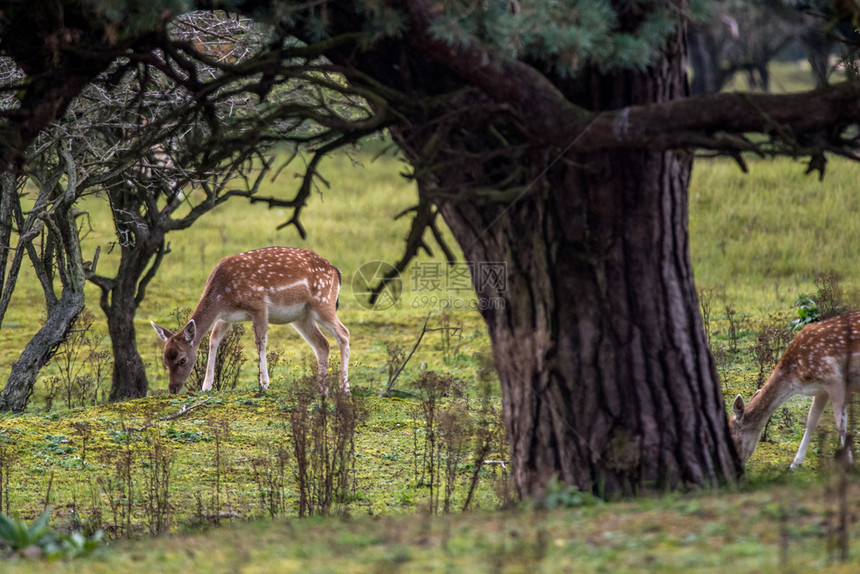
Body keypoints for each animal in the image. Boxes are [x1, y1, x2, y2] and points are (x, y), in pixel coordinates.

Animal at [151, 248, 350, 396]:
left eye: (182, 359)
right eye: (165, 359)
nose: (173, 389)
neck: (222, 296)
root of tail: (336, 271)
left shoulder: (259, 305)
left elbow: (260, 342)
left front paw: (264, 383)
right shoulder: (225, 317)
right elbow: (213, 340)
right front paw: (206, 386)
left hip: (324, 303)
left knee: (344, 334)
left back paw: (344, 389)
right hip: (302, 316)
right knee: (322, 344)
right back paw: (321, 391)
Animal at [724, 312, 860, 470]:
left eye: (731, 440)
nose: (735, 467)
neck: (797, 379)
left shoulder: (834, 378)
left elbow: (841, 424)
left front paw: (849, 464)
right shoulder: (821, 390)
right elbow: (811, 422)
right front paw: (795, 464)